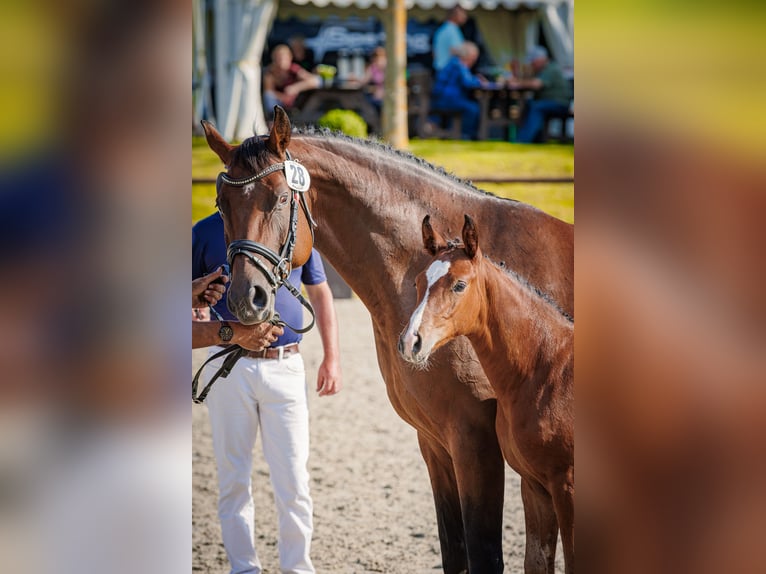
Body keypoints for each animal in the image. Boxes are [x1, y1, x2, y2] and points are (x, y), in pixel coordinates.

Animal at [399, 215, 574, 574]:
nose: (411, 342)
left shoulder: (569, 488)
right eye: (418, 283)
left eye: (459, 285)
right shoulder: (535, 486)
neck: (549, 368)